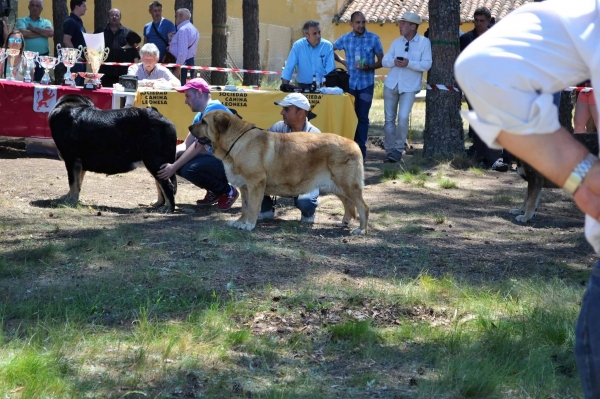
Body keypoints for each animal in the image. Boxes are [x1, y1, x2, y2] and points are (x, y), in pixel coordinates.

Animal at [49, 94, 177, 212]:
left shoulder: (72, 159)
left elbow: (73, 183)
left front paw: (71, 201)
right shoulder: (80, 164)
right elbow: (78, 183)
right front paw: (69, 197)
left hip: (153, 160)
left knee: (167, 185)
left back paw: (168, 208)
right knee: (159, 184)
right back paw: (158, 204)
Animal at [192, 110, 368, 234]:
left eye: (203, 122)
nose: (189, 127)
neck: (236, 140)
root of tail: (353, 143)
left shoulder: (255, 184)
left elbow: (253, 207)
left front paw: (249, 225)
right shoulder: (245, 187)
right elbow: (245, 207)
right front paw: (241, 222)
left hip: (347, 186)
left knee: (362, 207)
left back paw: (361, 229)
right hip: (337, 187)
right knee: (349, 205)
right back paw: (344, 222)